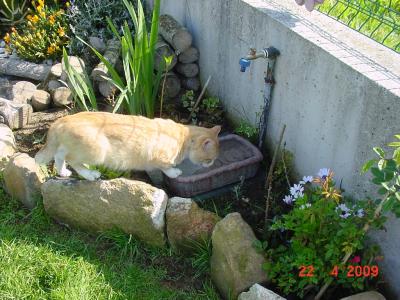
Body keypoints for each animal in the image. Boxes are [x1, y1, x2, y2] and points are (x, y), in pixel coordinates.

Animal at [35, 110, 222, 179]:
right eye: (209, 159)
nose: (212, 163)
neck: (183, 137)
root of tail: (60, 120)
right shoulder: (159, 158)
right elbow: (166, 167)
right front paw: (174, 172)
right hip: (96, 151)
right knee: (72, 160)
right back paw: (90, 174)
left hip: (70, 147)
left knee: (59, 156)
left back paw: (63, 172)